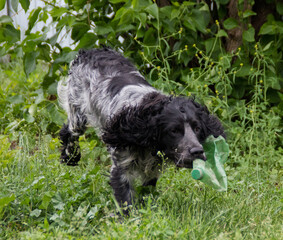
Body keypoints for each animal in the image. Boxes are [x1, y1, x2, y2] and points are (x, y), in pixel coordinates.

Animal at [58, 47, 226, 212]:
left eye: (197, 128)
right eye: (174, 131)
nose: (197, 151)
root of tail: (90, 51)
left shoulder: (152, 169)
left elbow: (147, 192)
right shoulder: (121, 166)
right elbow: (126, 200)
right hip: (78, 113)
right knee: (68, 131)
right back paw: (70, 156)